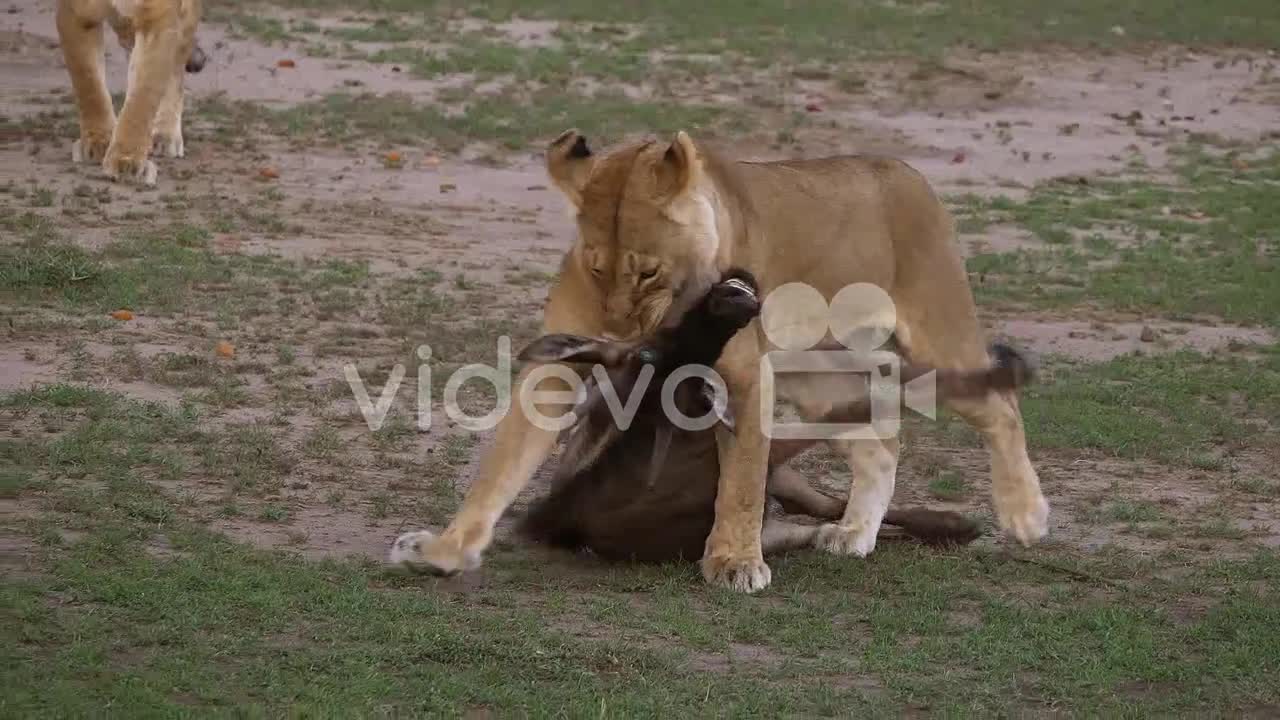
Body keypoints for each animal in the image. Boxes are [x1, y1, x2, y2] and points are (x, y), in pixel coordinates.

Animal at [55, 0, 203, 184]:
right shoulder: (77, 12)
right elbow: (87, 82)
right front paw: (98, 142)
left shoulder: (156, 20)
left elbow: (142, 99)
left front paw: (126, 160)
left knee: (177, 62)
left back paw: (165, 135)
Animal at [504, 267, 1034, 561]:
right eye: (647, 354)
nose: (728, 297)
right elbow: (855, 406)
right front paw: (1009, 367)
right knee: (823, 516)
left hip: (782, 485)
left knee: (826, 504)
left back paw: (951, 525)